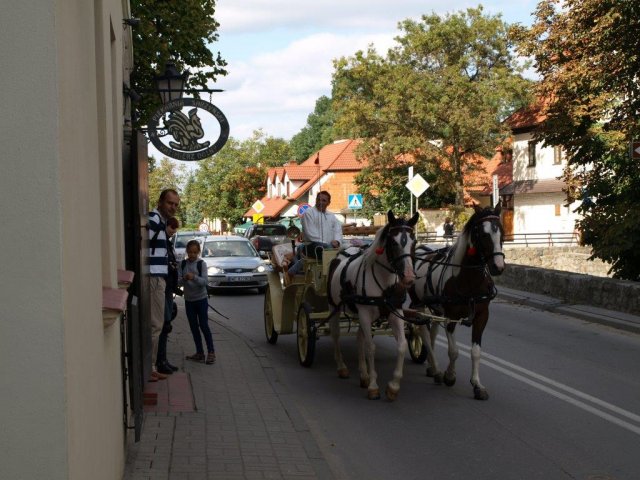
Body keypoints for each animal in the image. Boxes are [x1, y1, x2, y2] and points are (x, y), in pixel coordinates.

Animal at [327, 210, 419, 400]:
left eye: (414, 241)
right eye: (393, 242)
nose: (408, 277)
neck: (384, 283)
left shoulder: (395, 313)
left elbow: (401, 345)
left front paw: (393, 386)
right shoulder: (364, 314)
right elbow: (371, 347)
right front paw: (373, 385)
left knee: (359, 338)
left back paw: (363, 374)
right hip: (335, 307)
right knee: (336, 335)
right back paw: (342, 367)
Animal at [408, 203, 505, 400]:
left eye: (502, 232)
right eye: (482, 234)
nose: (498, 267)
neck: (468, 279)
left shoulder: (482, 316)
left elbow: (476, 352)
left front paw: (477, 385)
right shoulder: (450, 317)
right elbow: (454, 351)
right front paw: (450, 375)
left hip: (436, 309)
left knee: (432, 331)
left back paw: (432, 367)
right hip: (418, 304)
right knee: (423, 334)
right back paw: (436, 369)